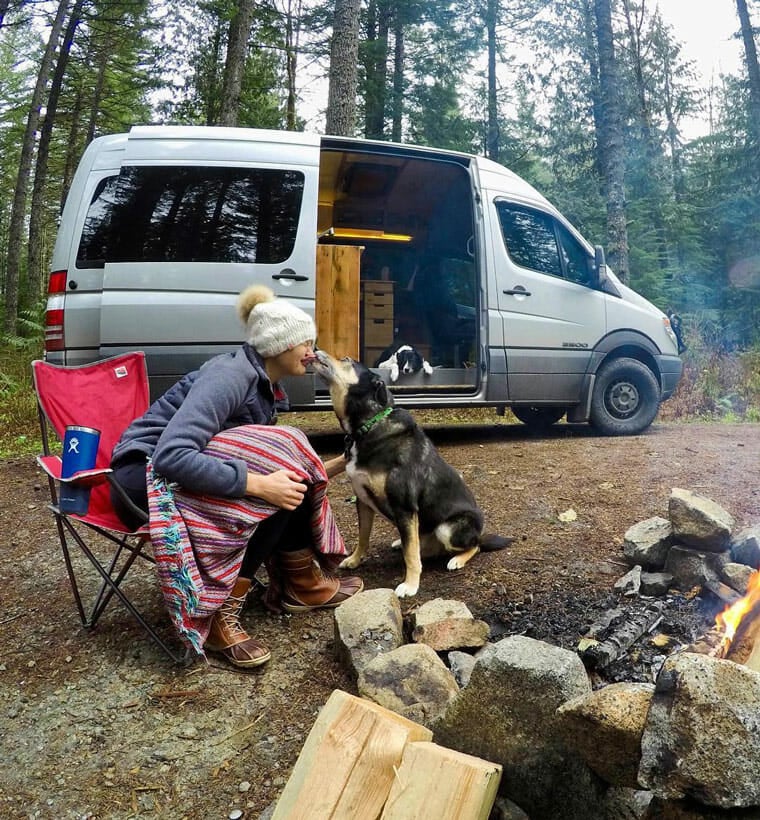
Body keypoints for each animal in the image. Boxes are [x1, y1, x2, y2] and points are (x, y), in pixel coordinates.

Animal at [312, 348, 512, 596]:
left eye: (347, 360)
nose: (315, 349)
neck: (368, 426)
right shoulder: (363, 500)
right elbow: (363, 536)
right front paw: (354, 560)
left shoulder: (404, 506)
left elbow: (411, 555)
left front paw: (410, 585)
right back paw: (402, 542)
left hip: (447, 528)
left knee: (474, 546)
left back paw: (457, 559)